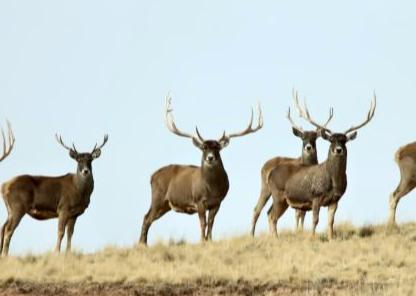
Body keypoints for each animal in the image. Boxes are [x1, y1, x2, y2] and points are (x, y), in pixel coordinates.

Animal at [141, 95, 264, 245]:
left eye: (217, 147)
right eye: (204, 148)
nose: (210, 158)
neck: (211, 189)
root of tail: (152, 176)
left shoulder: (217, 202)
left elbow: (211, 223)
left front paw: (209, 240)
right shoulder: (199, 200)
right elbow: (203, 223)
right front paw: (202, 241)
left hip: (165, 205)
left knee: (147, 217)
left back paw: (142, 243)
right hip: (157, 198)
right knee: (147, 218)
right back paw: (142, 244)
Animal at [249, 96, 334, 237]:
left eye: (314, 138)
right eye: (302, 138)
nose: (308, 147)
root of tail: (264, 165)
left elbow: (302, 213)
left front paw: (300, 231)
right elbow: (299, 213)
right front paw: (298, 232)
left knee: (267, 211)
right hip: (266, 188)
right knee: (258, 209)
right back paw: (252, 235)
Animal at [268, 92, 376, 240]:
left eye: (344, 141)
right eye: (331, 140)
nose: (338, 150)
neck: (333, 180)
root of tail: (270, 174)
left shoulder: (335, 199)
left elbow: (331, 221)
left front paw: (331, 239)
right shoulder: (316, 195)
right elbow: (315, 220)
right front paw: (312, 238)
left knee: (269, 214)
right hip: (278, 194)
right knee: (273, 217)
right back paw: (276, 239)